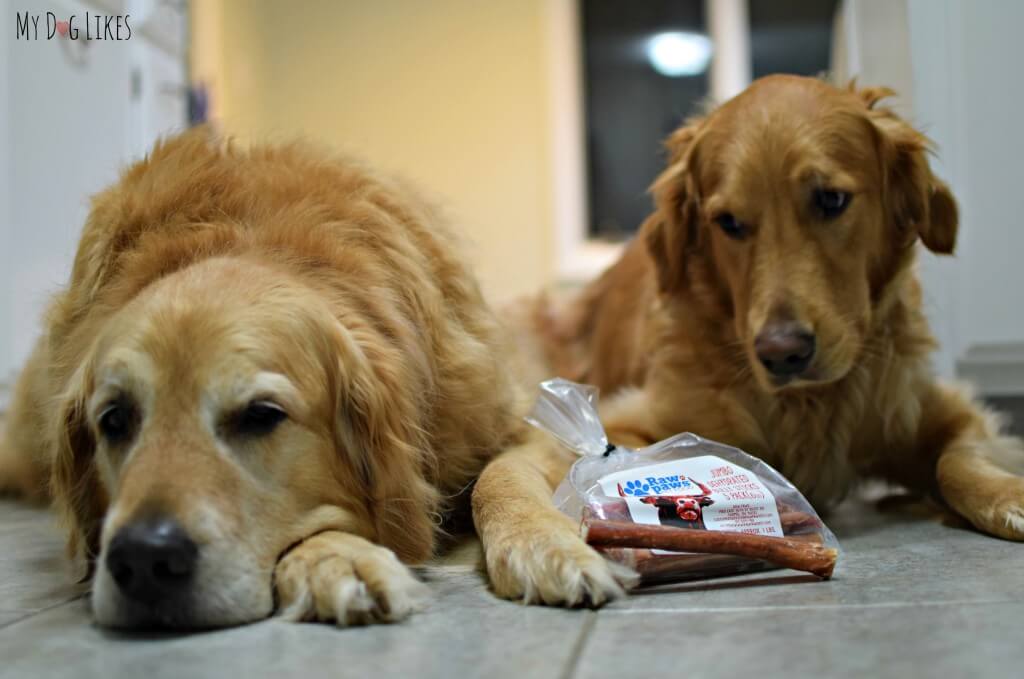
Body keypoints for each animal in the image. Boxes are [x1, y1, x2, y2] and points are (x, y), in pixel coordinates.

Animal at [471, 73, 1024, 606]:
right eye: (729, 222)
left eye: (831, 199)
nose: (783, 353)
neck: (808, 405)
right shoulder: (625, 422)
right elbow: (526, 473)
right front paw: (553, 543)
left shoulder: (930, 408)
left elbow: (960, 460)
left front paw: (1009, 496)